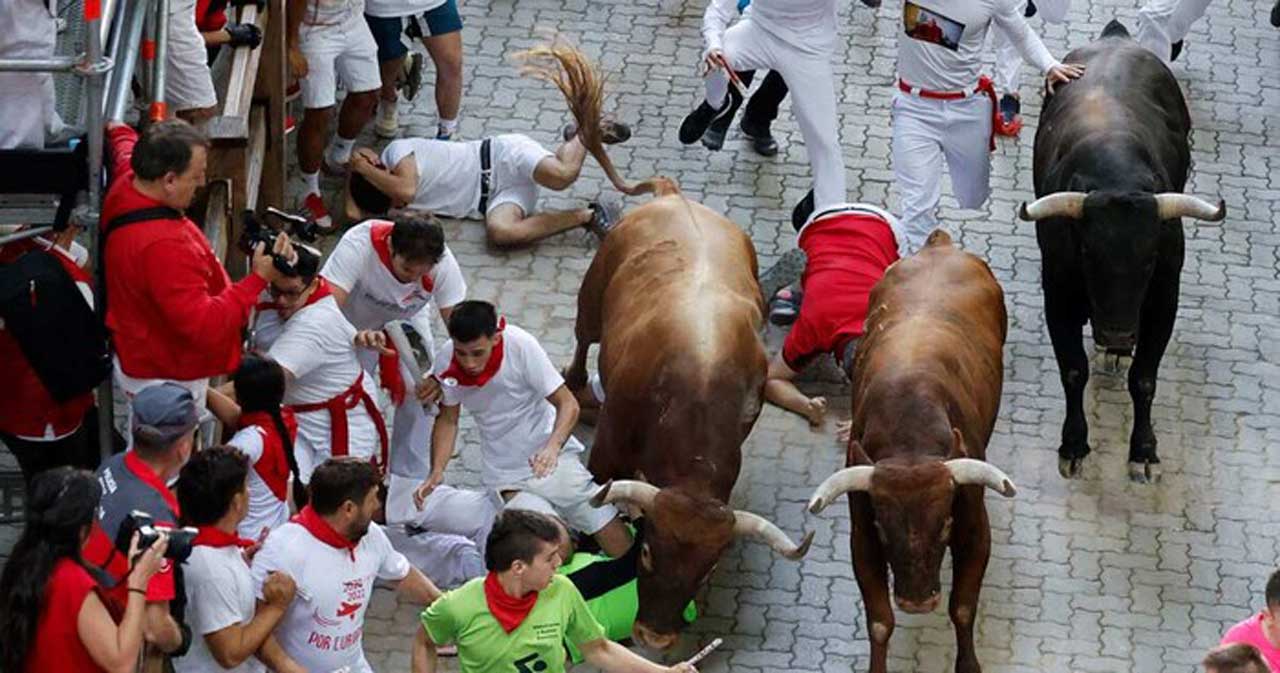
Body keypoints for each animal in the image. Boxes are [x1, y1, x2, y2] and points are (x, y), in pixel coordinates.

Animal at [568, 191, 808, 655]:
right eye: (646, 553)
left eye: (707, 571)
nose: (654, 636)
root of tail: (673, 196)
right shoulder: (607, 450)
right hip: (591, 297)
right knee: (582, 337)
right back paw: (573, 381)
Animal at [808, 230, 1018, 673]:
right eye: (885, 528)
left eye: (944, 524)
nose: (917, 603)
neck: (909, 442)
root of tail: (940, 245)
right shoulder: (862, 535)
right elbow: (879, 622)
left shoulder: (975, 528)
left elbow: (962, 607)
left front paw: (968, 664)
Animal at [1018, 21, 1218, 486]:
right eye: (1088, 253)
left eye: (1149, 259)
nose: (1117, 334)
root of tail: (1115, 37)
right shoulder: (1058, 294)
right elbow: (1073, 369)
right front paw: (1073, 445)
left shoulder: (1164, 297)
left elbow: (1144, 378)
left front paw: (1144, 451)